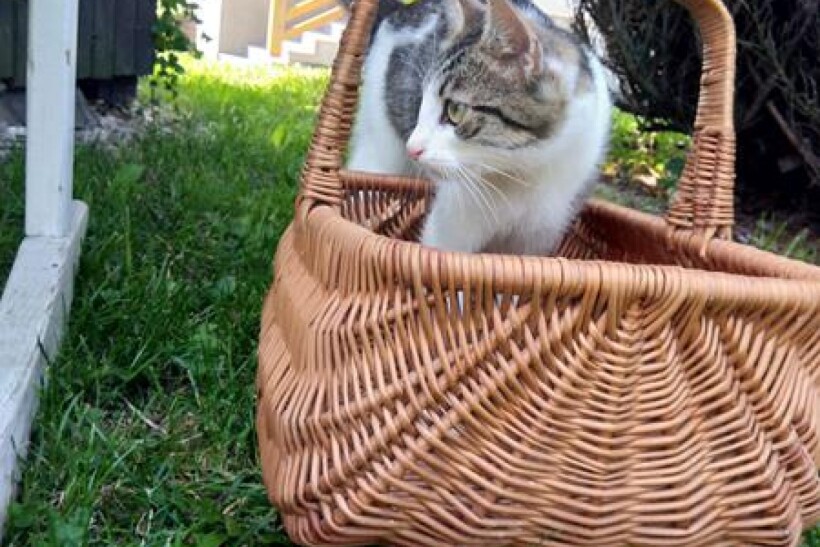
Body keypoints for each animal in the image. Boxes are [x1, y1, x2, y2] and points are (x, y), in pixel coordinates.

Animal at [344, 0, 611, 256]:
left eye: (455, 110)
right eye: (422, 101)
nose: (413, 148)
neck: (522, 172)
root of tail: (404, 9)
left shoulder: (540, 235)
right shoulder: (452, 224)